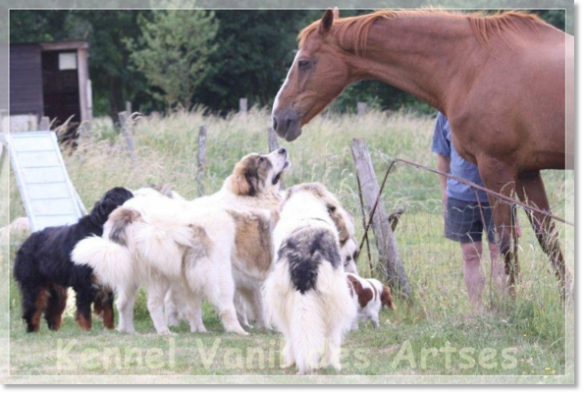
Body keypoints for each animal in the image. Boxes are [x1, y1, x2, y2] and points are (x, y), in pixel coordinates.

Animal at [272, 9, 572, 296]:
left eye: (304, 62)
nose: (278, 118)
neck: (473, 64)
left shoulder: (497, 168)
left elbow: (507, 242)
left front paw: (512, 304)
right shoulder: (527, 173)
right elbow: (549, 240)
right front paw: (566, 300)